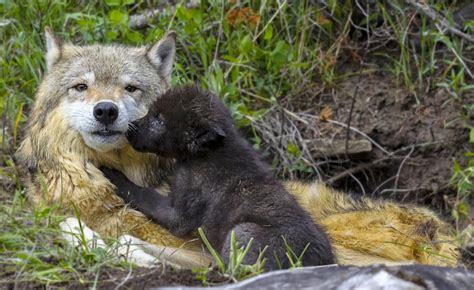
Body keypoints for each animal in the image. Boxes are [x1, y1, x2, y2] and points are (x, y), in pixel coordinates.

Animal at [16, 28, 458, 268]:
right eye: (81, 87)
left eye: (131, 89)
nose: (106, 110)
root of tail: (443, 228)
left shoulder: (188, 234)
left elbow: (129, 237)